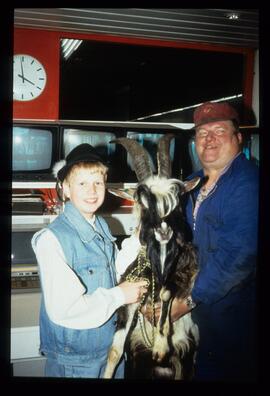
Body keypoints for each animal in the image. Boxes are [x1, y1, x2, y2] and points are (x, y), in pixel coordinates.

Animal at [103, 135, 200, 378]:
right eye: (142, 202)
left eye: (178, 199)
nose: (164, 231)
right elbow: (115, 351)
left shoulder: (182, 276)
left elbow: (166, 292)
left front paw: (160, 345)